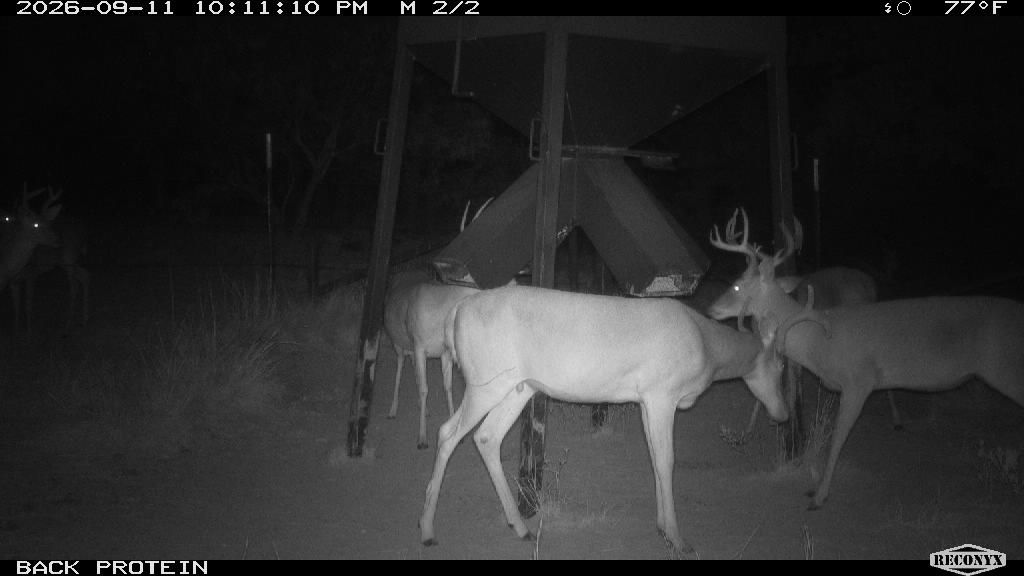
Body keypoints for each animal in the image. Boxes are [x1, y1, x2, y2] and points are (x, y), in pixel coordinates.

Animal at [418, 284, 818, 556]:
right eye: (780, 365)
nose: (782, 413)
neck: (706, 347)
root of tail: (457, 311)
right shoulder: (663, 393)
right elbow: (667, 460)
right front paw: (678, 538)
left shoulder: (646, 399)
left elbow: (656, 460)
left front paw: (662, 527)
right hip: (485, 382)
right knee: (448, 432)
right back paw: (426, 529)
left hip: (518, 387)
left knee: (486, 437)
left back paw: (520, 527)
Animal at [707, 208, 1024, 510]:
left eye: (737, 285)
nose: (710, 308)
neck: (817, 341)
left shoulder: (858, 381)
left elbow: (838, 436)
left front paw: (818, 496)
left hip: (1006, 368)